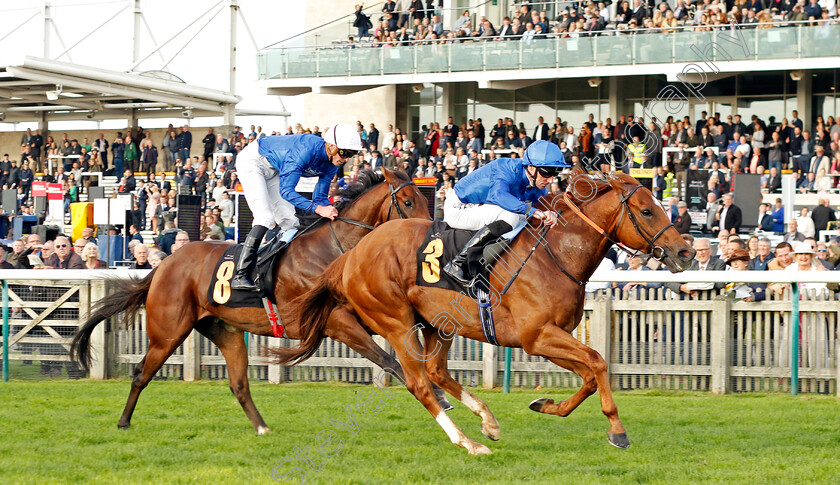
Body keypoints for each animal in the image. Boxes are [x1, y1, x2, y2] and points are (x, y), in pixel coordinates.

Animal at [71, 168, 434, 432]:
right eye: (407, 201)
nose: (429, 231)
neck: (333, 250)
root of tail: (163, 266)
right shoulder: (335, 322)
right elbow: (390, 362)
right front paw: (437, 398)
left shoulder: (365, 315)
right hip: (168, 331)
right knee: (141, 373)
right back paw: (123, 422)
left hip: (225, 331)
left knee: (239, 384)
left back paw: (262, 427)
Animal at [278, 167, 692, 454]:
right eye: (646, 211)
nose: (685, 251)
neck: (558, 254)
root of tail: (350, 256)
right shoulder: (537, 336)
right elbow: (598, 362)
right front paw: (617, 431)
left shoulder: (551, 336)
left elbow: (591, 372)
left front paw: (546, 404)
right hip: (395, 322)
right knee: (419, 382)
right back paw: (468, 442)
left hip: (438, 324)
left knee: (436, 371)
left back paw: (488, 422)